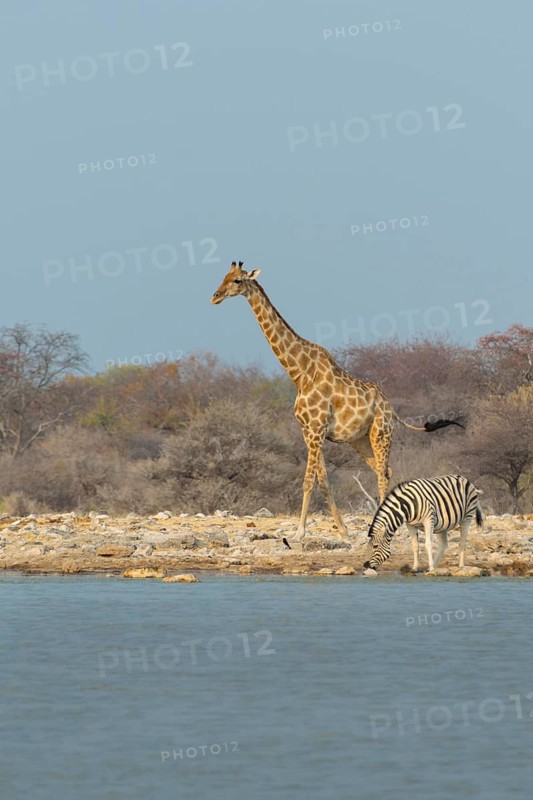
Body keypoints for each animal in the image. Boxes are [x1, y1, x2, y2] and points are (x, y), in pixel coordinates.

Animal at [211, 262, 464, 540]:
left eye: (236, 280)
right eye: (223, 276)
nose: (215, 296)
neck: (299, 373)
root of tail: (391, 409)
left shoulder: (316, 429)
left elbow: (308, 480)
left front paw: (299, 533)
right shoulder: (308, 431)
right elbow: (323, 481)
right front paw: (342, 531)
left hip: (381, 434)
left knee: (383, 473)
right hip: (360, 440)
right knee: (384, 471)